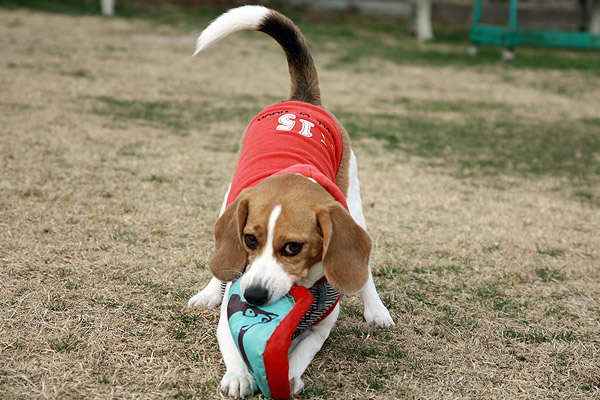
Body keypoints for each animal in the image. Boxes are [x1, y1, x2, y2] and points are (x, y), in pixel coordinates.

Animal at [188, 5, 394, 396]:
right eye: (250, 240)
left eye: (293, 248)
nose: (253, 296)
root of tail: (302, 100)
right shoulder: (231, 309)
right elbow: (231, 338)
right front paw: (239, 375)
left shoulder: (322, 324)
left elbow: (303, 350)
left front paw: (291, 374)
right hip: (229, 197)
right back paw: (208, 292)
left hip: (354, 202)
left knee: (365, 268)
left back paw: (376, 310)